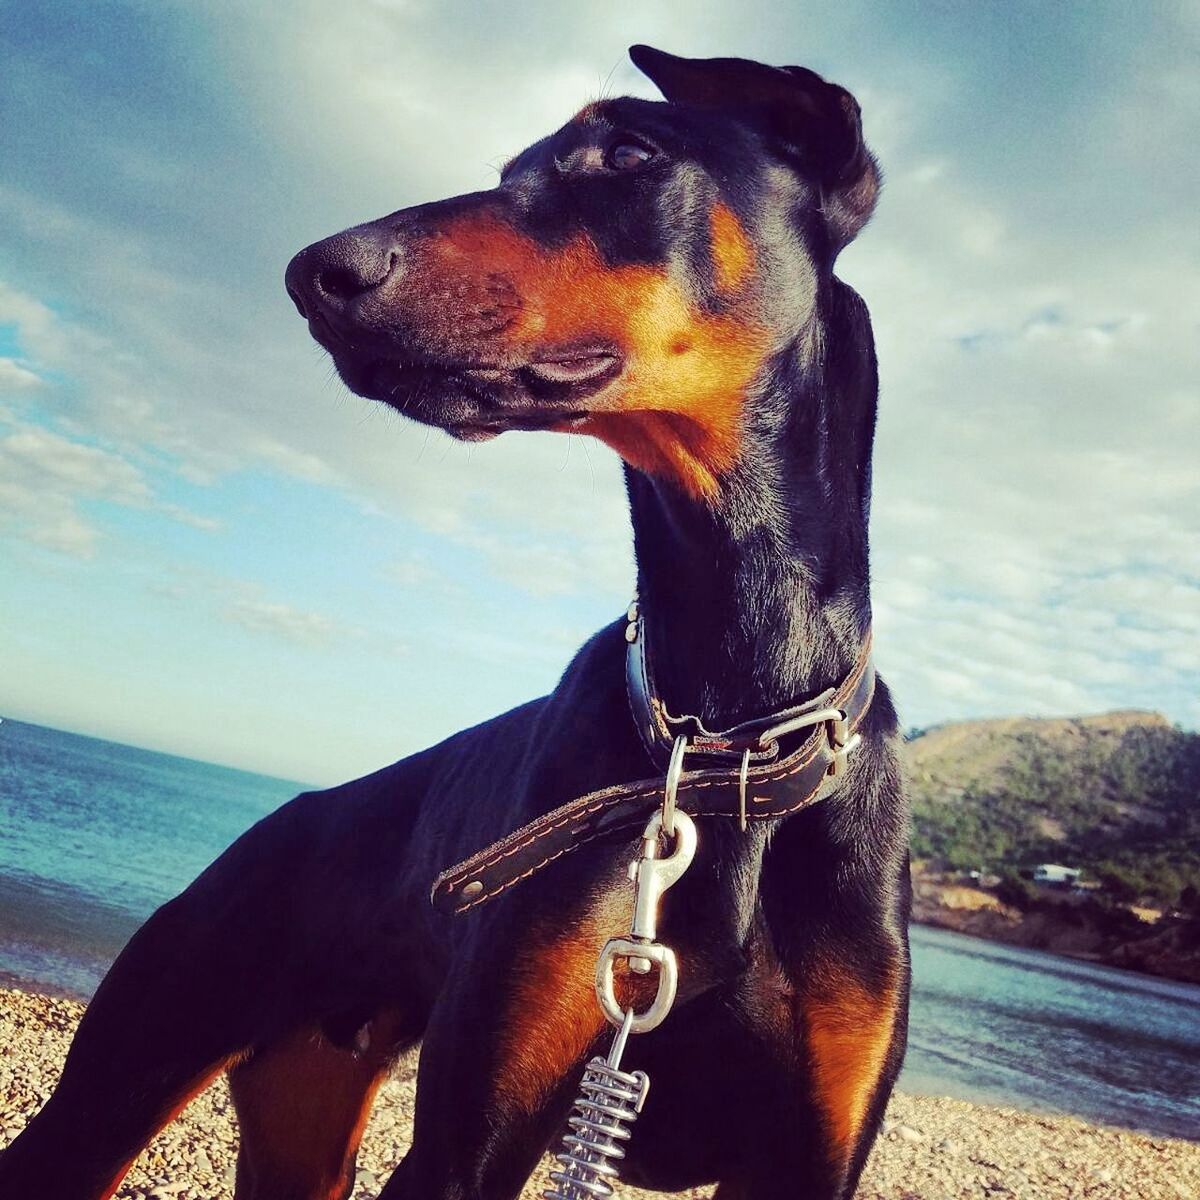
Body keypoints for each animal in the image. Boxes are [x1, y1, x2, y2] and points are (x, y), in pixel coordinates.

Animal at [2, 44, 907, 1200]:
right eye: (511, 165)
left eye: (629, 151)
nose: (317, 272)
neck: (732, 738)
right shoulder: (478, 1135)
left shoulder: (812, 1151)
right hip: (122, 1077)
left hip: (301, 1123)